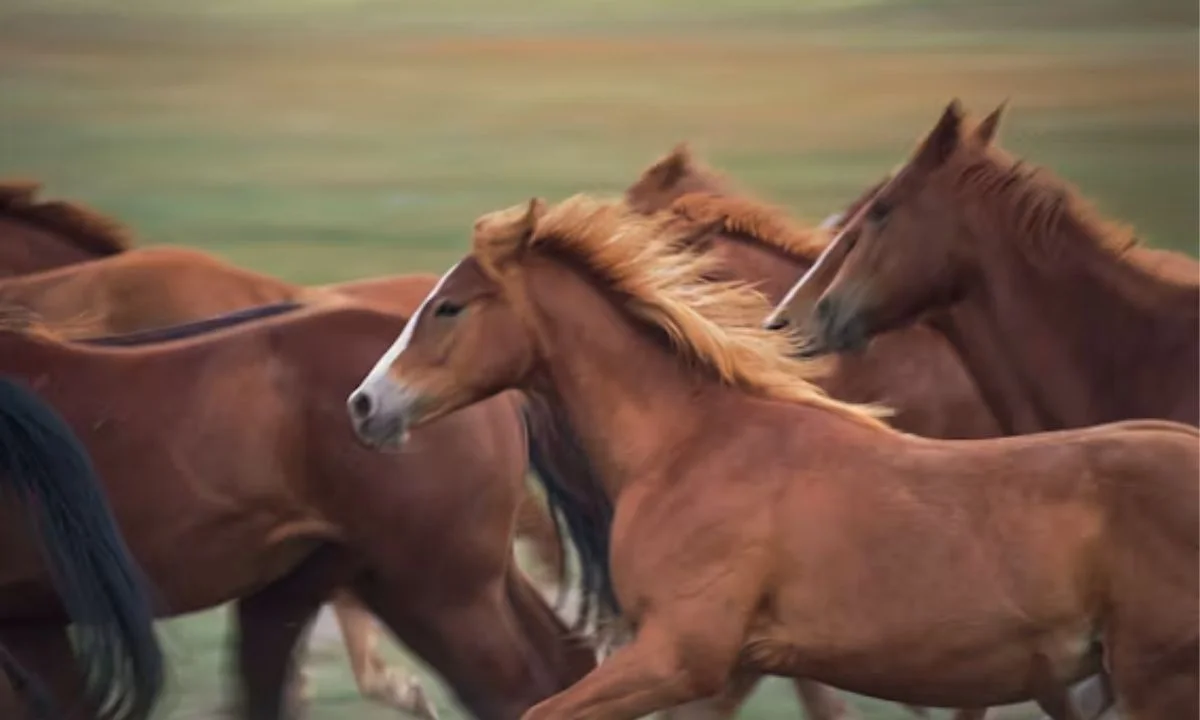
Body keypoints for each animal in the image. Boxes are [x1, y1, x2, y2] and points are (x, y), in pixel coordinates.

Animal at [347, 195, 1199, 720]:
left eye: (449, 307)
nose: (364, 405)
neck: (691, 446)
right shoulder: (722, 672)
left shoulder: (681, 655)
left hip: (1155, 679)